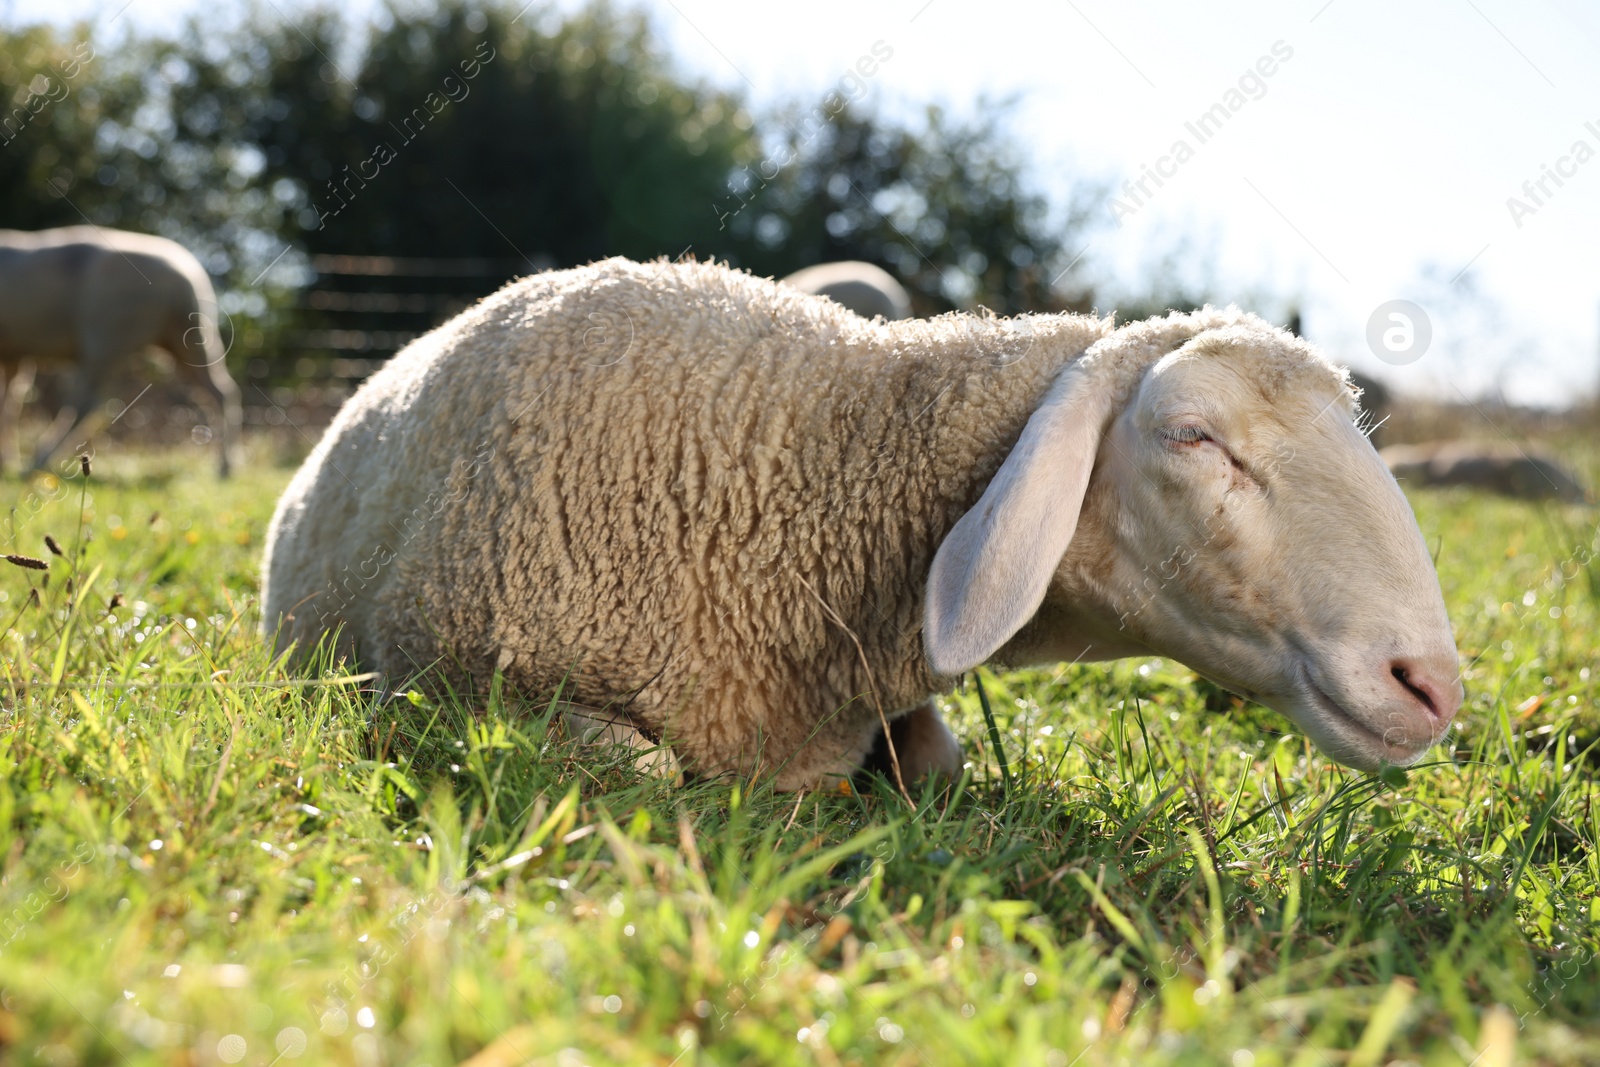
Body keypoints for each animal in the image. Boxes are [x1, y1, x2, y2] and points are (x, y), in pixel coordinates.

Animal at [0, 225, 243, 476]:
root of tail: (186, 276)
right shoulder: (14, 354)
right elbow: (10, 402)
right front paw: (7, 459)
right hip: (189, 337)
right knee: (221, 392)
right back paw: (226, 465)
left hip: (104, 337)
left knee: (86, 404)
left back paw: (40, 459)